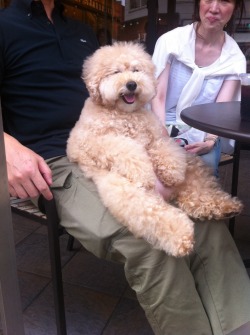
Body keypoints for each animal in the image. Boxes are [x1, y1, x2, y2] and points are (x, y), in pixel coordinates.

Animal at [67, 42, 242, 258]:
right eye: (116, 72)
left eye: (136, 70)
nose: (132, 84)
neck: (125, 115)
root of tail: (170, 196)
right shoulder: (90, 140)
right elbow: (122, 146)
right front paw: (142, 171)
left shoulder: (156, 135)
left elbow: (162, 147)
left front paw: (171, 172)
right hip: (127, 194)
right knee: (156, 214)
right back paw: (181, 238)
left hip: (193, 167)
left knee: (199, 195)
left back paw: (226, 207)